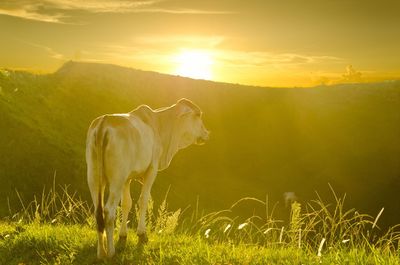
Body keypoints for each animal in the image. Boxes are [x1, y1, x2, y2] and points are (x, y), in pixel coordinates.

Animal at [86, 98, 211, 256]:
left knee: (98, 210)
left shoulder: (127, 178)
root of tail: (104, 122)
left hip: (94, 177)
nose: (206, 133)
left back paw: (101, 252)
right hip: (116, 180)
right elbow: (143, 200)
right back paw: (111, 252)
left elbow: (127, 203)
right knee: (108, 210)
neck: (159, 124)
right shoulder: (151, 170)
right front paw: (142, 234)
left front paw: (123, 236)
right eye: (198, 115)